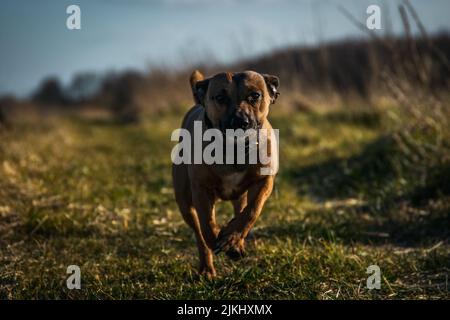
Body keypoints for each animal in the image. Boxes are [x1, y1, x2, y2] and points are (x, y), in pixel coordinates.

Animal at [171, 69, 280, 278]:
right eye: (220, 98)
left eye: (255, 95)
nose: (240, 121)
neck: (234, 149)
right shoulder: (201, 189)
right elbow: (207, 224)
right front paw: (218, 239)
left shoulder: (264, 181)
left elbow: (251, 211)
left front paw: (232, 239)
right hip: (184, 202)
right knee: (199, 233)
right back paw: (207, 268)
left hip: (239, 195)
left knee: (240, 211)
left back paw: (236, 243)